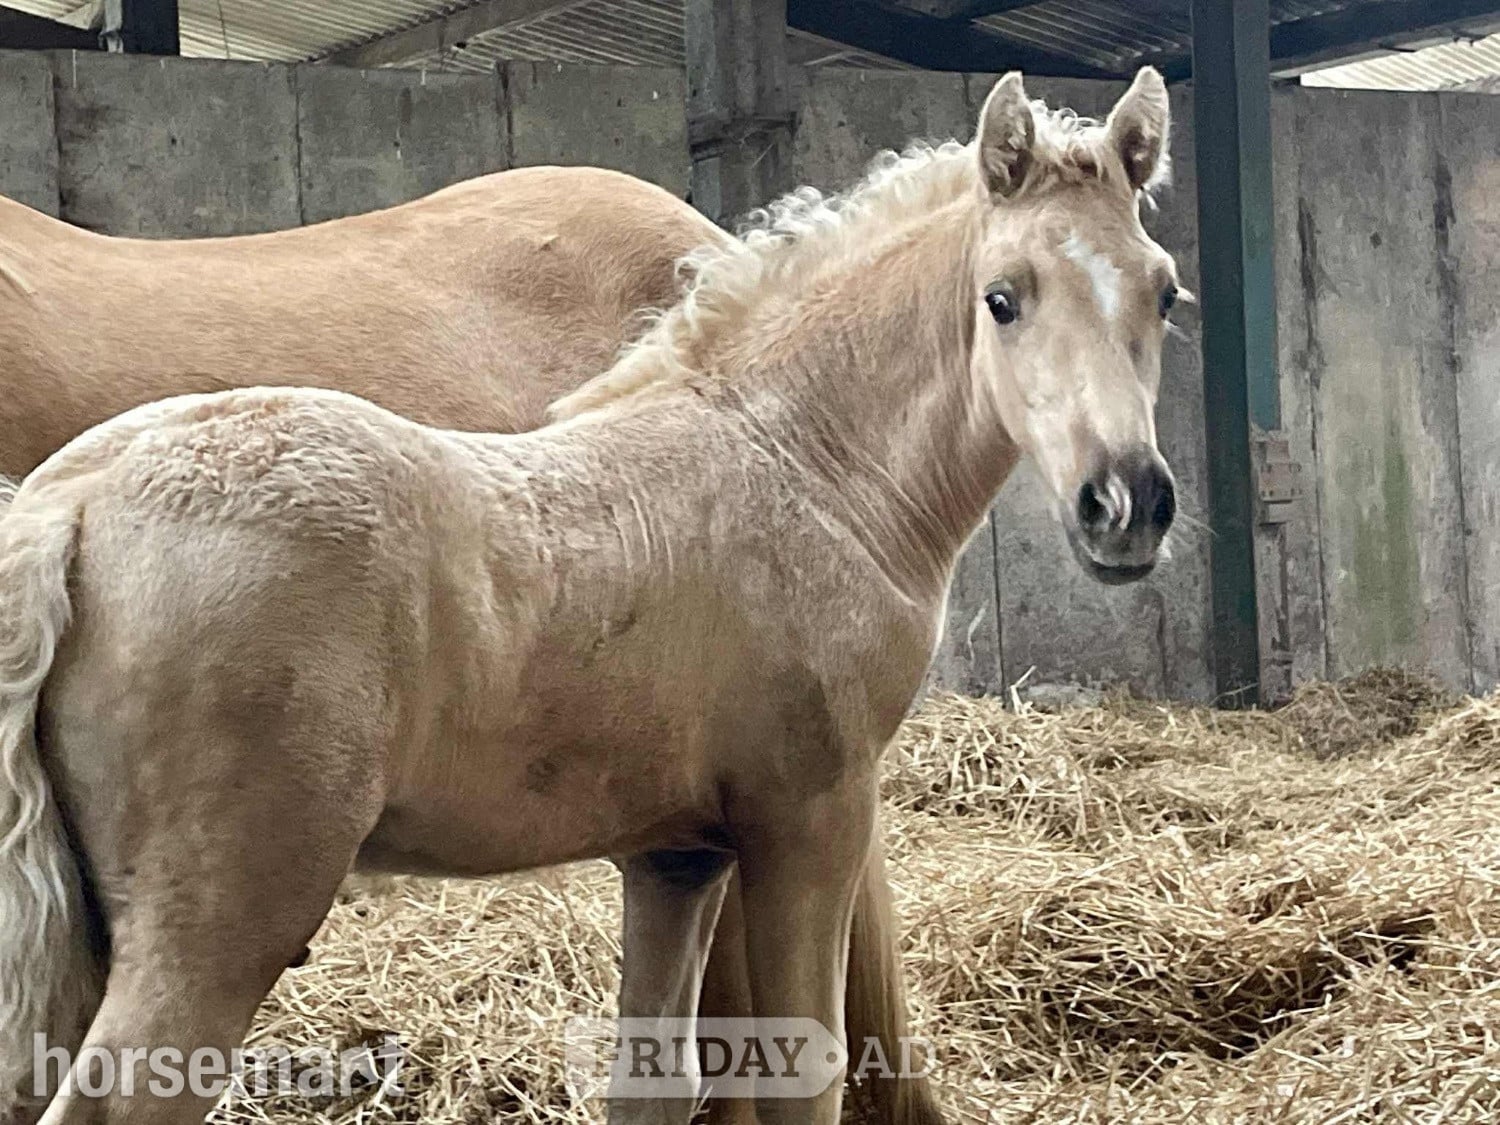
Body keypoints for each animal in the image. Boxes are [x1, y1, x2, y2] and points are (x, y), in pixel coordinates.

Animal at [0, 67, 1179, 1125]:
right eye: (1002, 298)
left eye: (1166, 292)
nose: (1126, 502)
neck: (798, 457)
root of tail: (74, 501)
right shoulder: (811, 814)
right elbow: (804, 1069)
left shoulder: (678, 856)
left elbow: (653, 1082)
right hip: (221, 916)